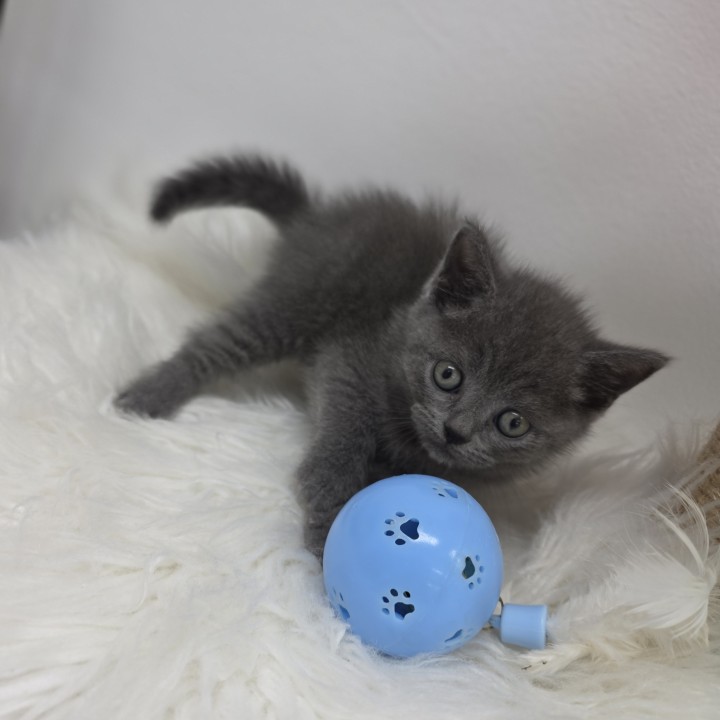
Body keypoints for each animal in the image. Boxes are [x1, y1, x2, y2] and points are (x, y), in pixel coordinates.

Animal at [115, 153, 669, 556]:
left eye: (512, 423)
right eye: (448, 375)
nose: (455, 431)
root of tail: (318, 215)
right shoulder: (351, 355)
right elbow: (348, 427)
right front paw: (330, 513)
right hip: (299, 302)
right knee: (215, 344)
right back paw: (146, 399)